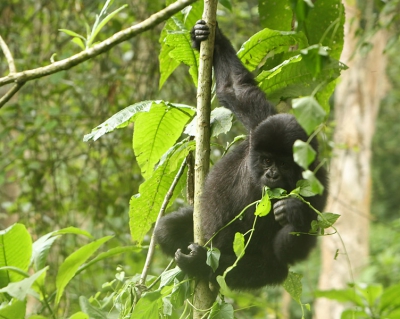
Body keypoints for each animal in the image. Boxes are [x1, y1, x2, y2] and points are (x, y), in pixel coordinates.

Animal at [154, 20, 328, 290]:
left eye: (284, 164)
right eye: (267, 160)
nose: (272, 174)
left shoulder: (320, 181)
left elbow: (303, 239)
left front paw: (294, 212)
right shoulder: (260, 122)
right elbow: (235, 88)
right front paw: (209, 37)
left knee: (264, 267)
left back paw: (200, 264)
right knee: (165, 230)